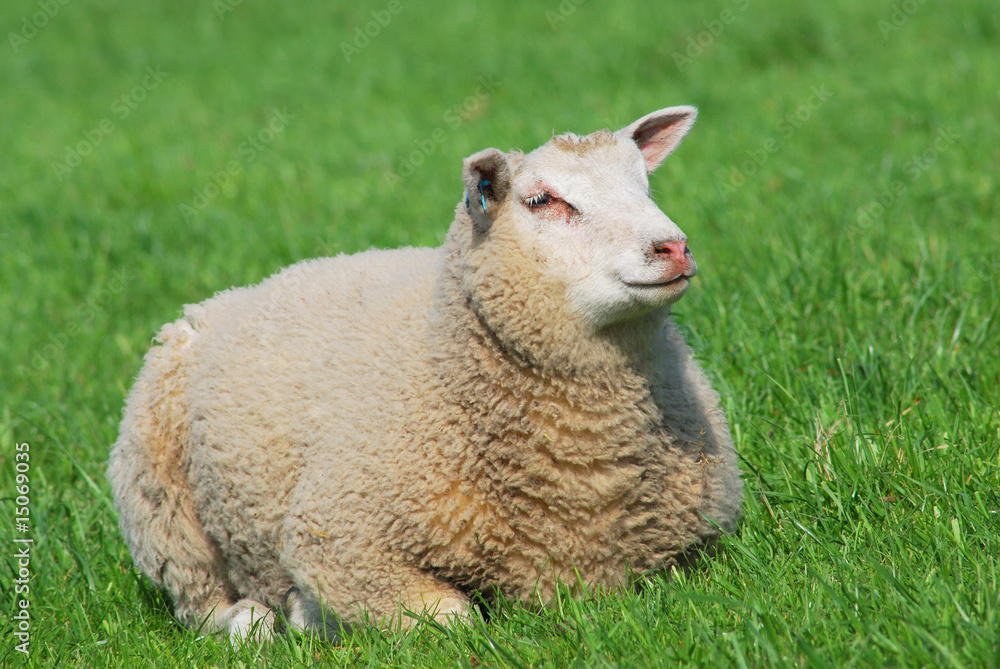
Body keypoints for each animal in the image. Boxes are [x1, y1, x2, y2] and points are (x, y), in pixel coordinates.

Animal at [107, 107, 744, 644]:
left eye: (645, 185)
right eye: (542, 200)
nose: (673, 247)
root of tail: (240, 290)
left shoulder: (697, 543)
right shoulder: (339, 537)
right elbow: (454, 620)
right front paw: (310, 614)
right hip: (160, 502)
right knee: (198, 602)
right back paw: (253, 619)